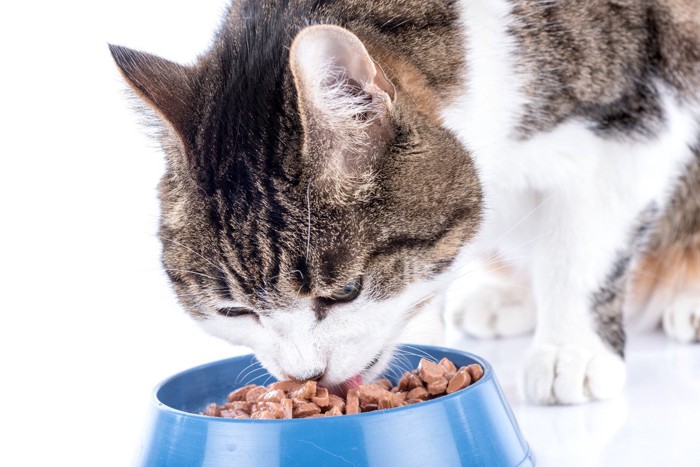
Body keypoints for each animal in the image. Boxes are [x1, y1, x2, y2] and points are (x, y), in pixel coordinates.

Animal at [110, 0, 700, 404]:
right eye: (234, 311)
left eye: (345, 292)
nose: (305, 375)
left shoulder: (637, 118)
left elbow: (584, 250)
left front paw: (571, 349)